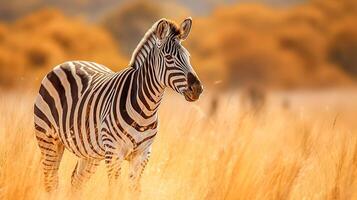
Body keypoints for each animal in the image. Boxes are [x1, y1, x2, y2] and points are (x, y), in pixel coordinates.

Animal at [34, 17, 203, 192]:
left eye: (188, 57)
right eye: (169, 58)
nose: (197, 89)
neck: (146, 111)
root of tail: (68, 62)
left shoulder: (143, 154)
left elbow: (134, 190)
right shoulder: (114, 152)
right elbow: (115, 190)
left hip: (89, 152)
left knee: (76, 181)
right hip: (48, 139)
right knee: (51, 180)